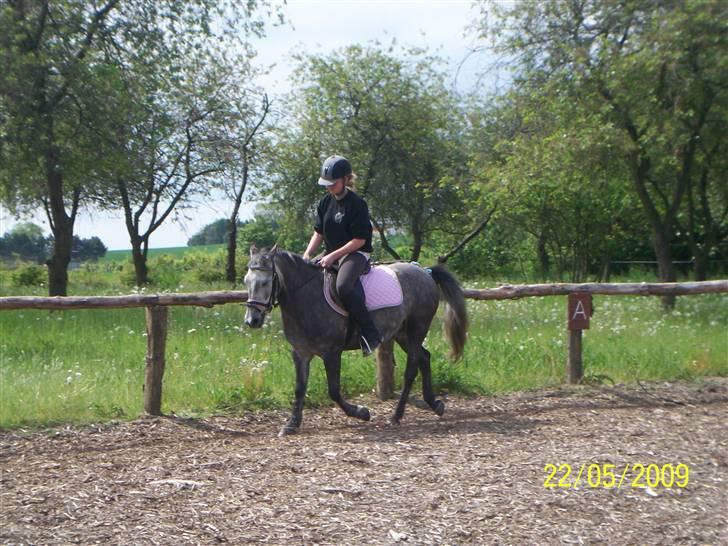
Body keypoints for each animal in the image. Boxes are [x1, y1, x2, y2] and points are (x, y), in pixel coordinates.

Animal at [245, 244, 470, 436]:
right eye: (246, 281)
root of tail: (425, 272)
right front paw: (291, 424)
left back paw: (396, 416)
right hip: (402, 334)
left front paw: (361, 413)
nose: (252, 320)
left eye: (265, 282)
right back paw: (435, 404)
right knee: (424, 357)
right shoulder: (300, 353)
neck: (305, 296)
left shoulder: (331, 352)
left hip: (417, 329)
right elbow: (300, 388)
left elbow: (334, 391)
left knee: (411, 369)